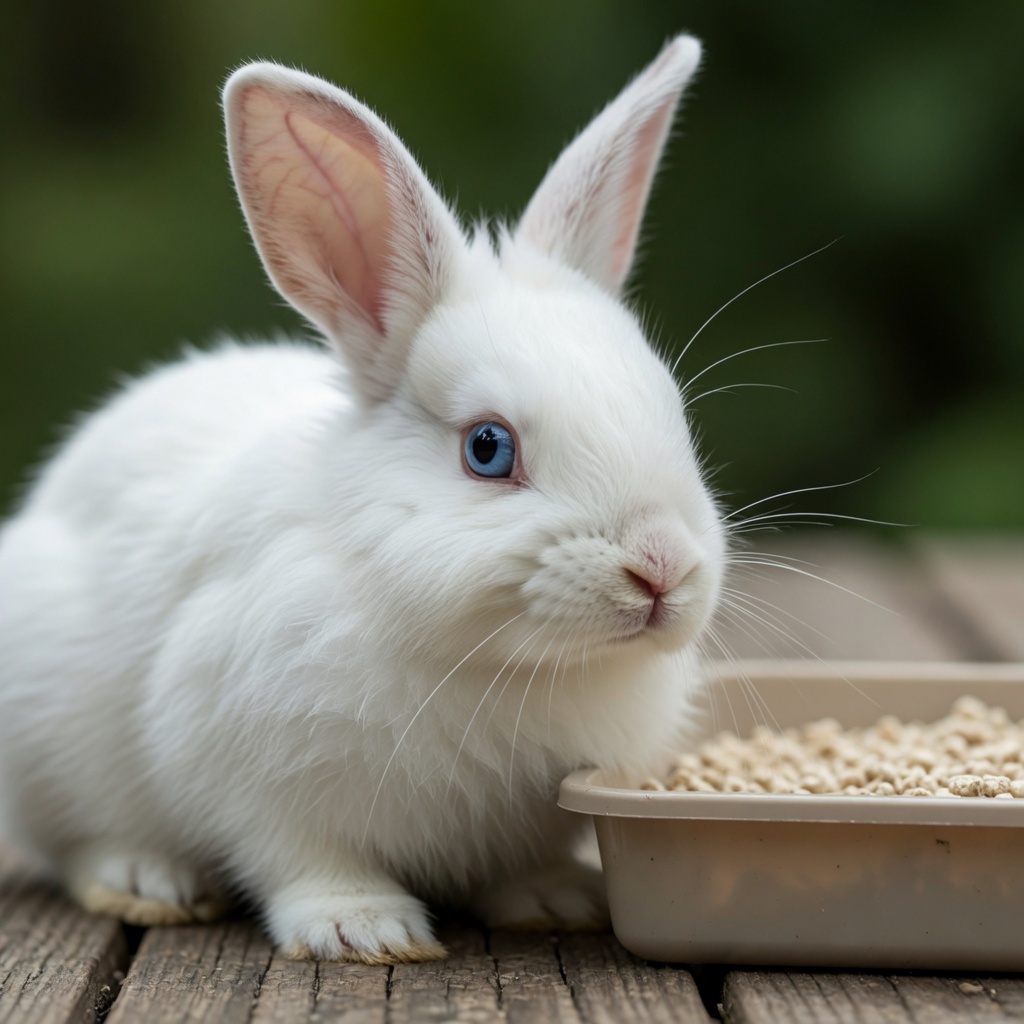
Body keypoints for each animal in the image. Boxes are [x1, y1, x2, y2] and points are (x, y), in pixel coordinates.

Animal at [0, 33, 724, 963]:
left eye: (672, 414)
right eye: (488, 449)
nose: (661, 569)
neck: (501, 663)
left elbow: (520, 867)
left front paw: (555, 901)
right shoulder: (251, 774)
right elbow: (302, 859)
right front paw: (362, 930)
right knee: (74, 842)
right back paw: (146, 880)